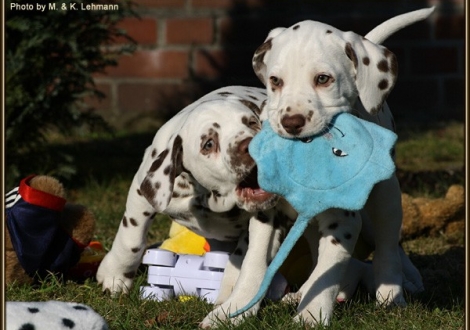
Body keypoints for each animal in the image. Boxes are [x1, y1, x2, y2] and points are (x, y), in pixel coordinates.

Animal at [250, 7, 434, 322]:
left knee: (388, 244)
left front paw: (311, 316)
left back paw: (392, 292)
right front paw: (227, 312)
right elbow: (256, 265)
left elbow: (330, 265)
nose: (291, 122)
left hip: (387, 196)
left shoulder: (344, 219)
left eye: (323, 79)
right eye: (275, 81)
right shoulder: (269, 209)